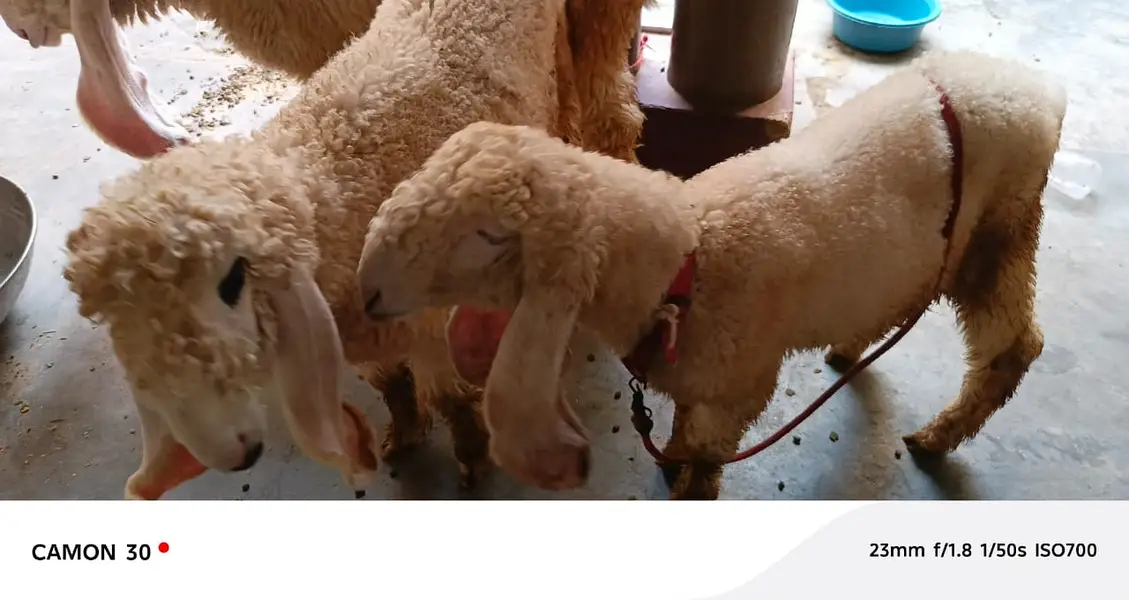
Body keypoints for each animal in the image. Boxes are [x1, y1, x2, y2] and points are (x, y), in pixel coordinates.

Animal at [62, 0, 637, 500]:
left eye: (232, 280)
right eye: (117, 322)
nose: (231, 455)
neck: (332, 182)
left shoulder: (428, 321)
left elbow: (450, 396)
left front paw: (471, 457)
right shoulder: (361, 336)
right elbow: (391, 385)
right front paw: (402, 435)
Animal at [355, 50, 1068, 500]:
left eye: (489, 236)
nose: (367, 290)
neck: (690, 261)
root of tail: (1037, 90)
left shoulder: (738, 388)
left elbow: (704, 457)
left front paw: (689, 485)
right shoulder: (700, 378)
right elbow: (681, 431)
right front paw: (668, 461)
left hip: (1002, 230)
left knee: (1015, 346)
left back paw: (939, 436)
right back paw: (850, 348)